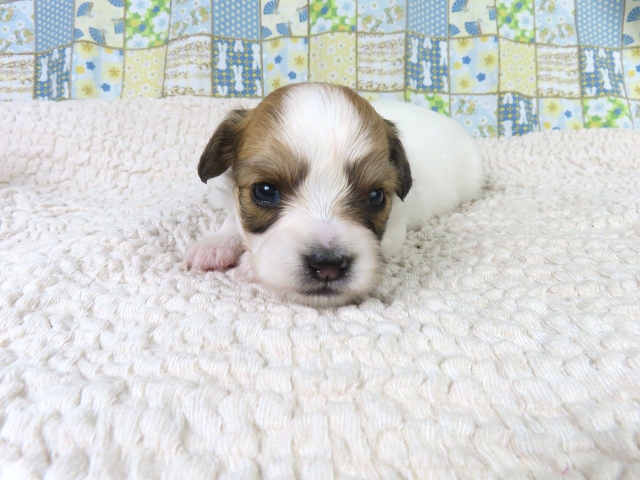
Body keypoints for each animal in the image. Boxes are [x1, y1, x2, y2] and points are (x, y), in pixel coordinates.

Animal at [185, 83, 483, 307]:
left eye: (375, 196)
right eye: (265, 191)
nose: (327, 265)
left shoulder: (396, 229)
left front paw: (249, 266)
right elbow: (233, 217)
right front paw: (215, 244)